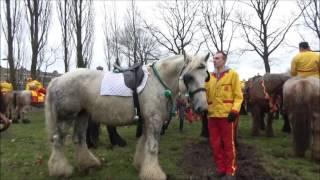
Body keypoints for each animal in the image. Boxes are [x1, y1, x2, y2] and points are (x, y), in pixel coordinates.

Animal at [45, 52, 210, 179]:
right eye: (189, 77)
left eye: (206, 76)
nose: (202, 107)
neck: (158, 81)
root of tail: (58, 79)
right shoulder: (154, 120)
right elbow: (152, 147)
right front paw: (154, 174)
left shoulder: (147, 120)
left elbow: (143, 143)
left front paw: (141, 165)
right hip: (67, 118)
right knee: (58, 141)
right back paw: (60, 170)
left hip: (82, 115)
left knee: (79, 140)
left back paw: (88, 164)